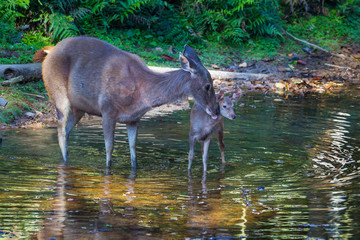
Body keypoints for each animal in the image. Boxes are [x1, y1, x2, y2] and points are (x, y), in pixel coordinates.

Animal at [40, 36, 218, 170]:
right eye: (207, 85)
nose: (216, 110)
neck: (141, 94)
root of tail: (48, 52)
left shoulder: (133, 119)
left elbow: (133, 149)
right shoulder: (107, 110)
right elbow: (109, 148)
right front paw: (108, 170)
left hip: (79, 108)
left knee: (66, 131)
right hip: (58, 95)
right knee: (61, 130)